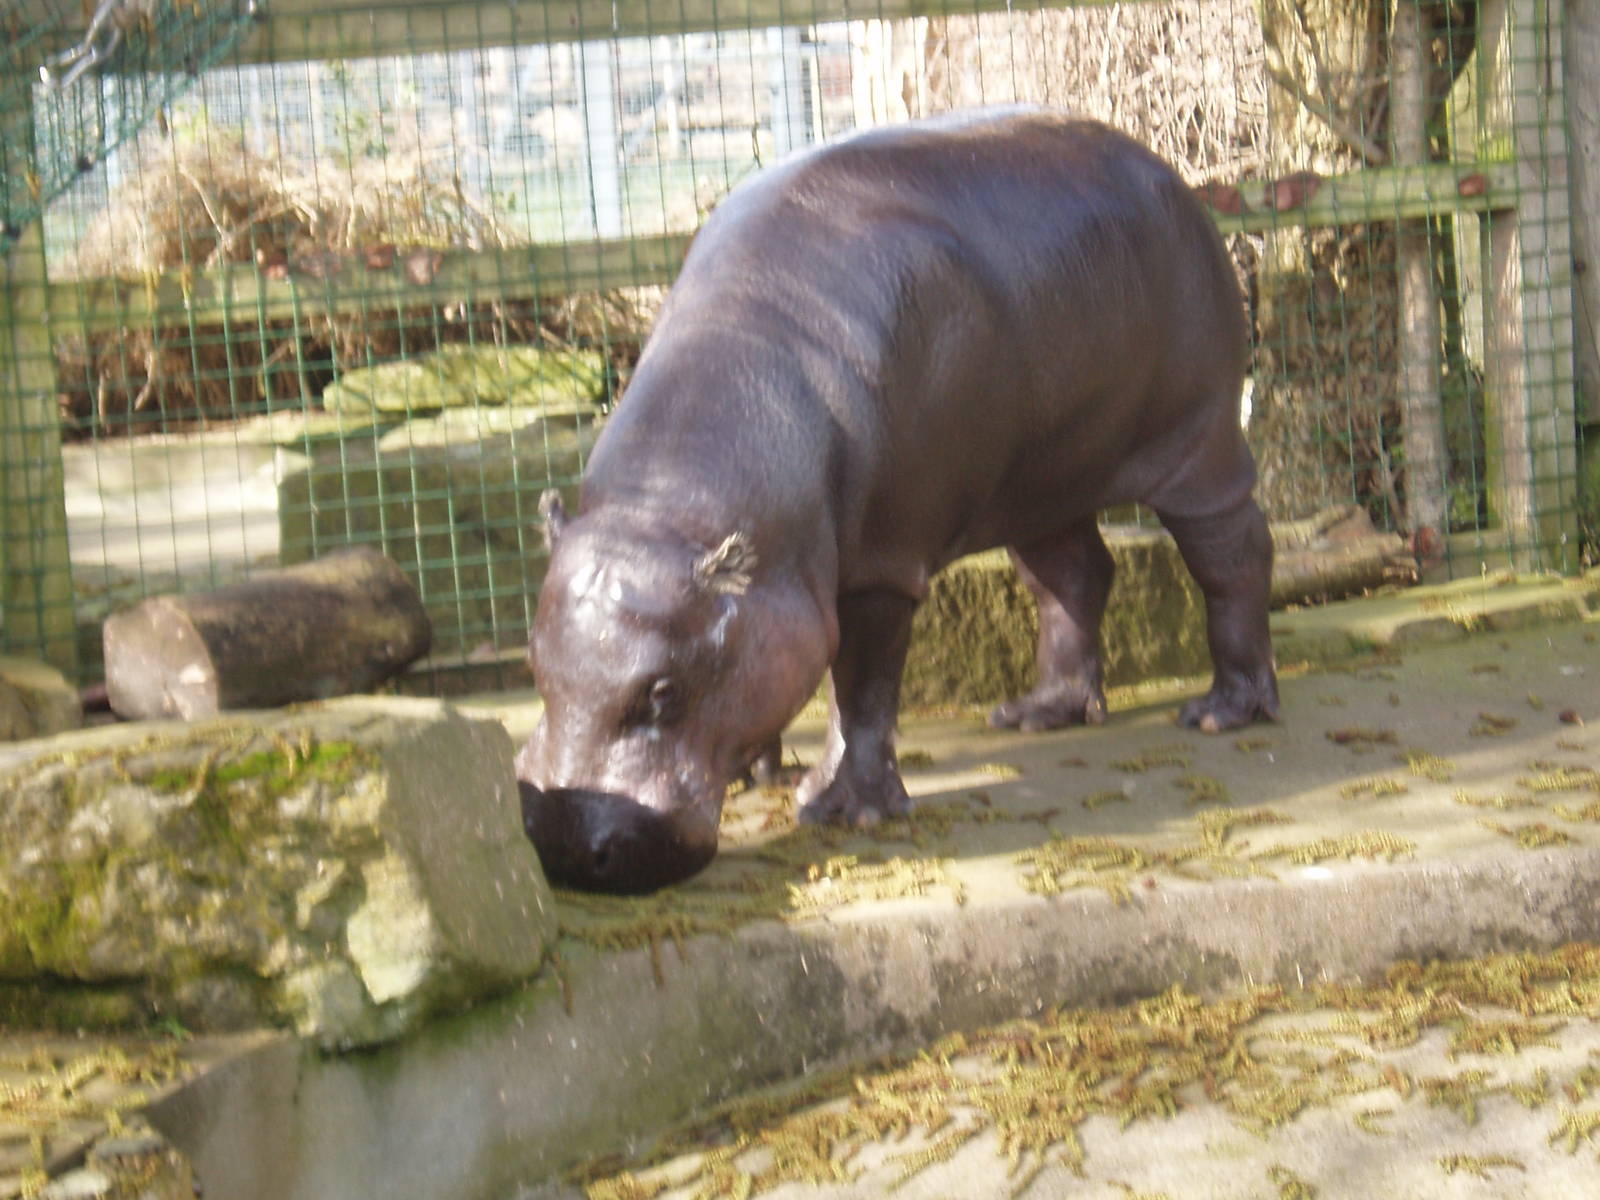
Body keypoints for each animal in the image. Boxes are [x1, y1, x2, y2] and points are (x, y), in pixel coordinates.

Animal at [517, 109, 1279, 894]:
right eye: (533, 666)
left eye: (663, 692)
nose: (568, 841)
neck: (667, 513)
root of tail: (1168, 177)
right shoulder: (774, 594)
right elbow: (778, 670)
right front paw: (761, 770)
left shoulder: (881, 564)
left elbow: (860, 687)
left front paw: (844, 809)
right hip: (1041, 476)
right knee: (1074, 577)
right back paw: (1035, 713)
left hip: (1199, 439)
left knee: (1234, 553)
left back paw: (1223, 713)